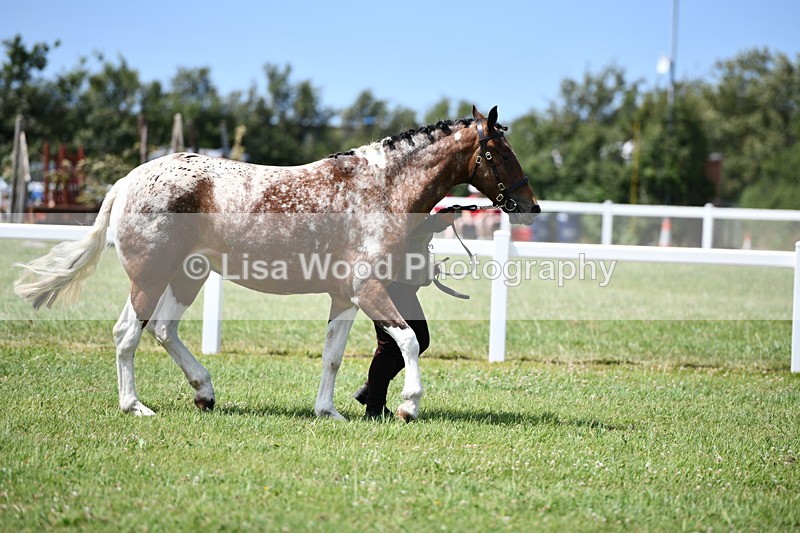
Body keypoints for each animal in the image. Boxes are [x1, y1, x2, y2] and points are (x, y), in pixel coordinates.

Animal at [14, 105, 540, 421]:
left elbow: (332, 355)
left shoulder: (346, 297)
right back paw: (134, 405)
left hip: (187, 276)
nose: (530, 205)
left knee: (163, 330)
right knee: (128, 333)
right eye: (500, 152)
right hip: (150, 276)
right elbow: (409, 340)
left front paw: (329, 412)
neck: (381, 189)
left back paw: (204, 392)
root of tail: (127, 181)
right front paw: (409, 405)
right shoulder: (370, 291)